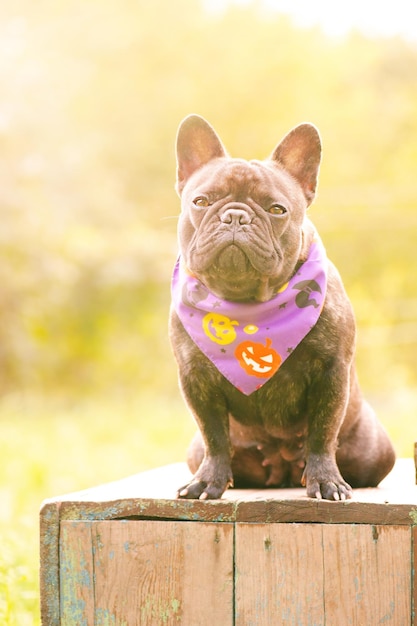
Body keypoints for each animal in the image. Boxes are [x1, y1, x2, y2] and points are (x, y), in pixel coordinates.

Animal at [168, 114, 394, 500]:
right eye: (201, 201)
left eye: (276, 209)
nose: (235, 216)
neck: (247, 305)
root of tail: (282, 468)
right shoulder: (195, 379)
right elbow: (214, 435)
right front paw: (207, 482)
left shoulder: (330, 372)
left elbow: (322, 431)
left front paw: (327, 482)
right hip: (198, 450)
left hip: (377, 453)